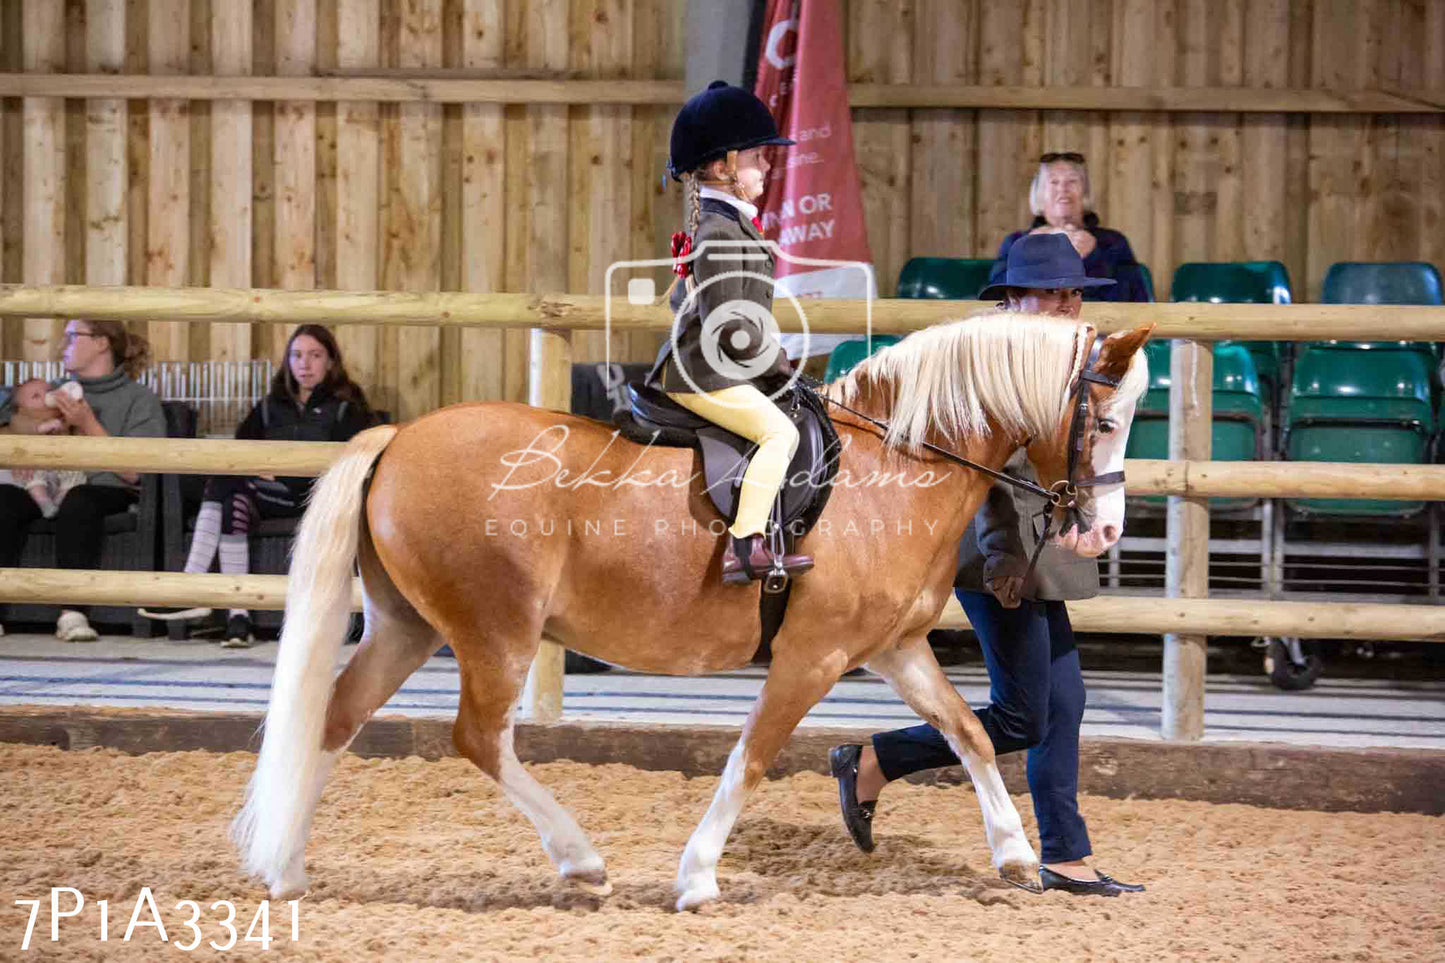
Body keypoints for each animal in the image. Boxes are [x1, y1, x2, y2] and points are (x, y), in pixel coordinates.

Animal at [228, 313, 1150, 908]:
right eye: (1105, 419)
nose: (1103, 528)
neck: (893, 466)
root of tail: (398, 440)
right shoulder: (811, 655)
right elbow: (753, 754)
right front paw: (697, 876)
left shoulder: (895, 647)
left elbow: (967, 733)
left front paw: (1017, 855)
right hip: (495, 632)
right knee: (479, 737)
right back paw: (580, 859)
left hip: (408, 626)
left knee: (336, 716)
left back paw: (288, 872)